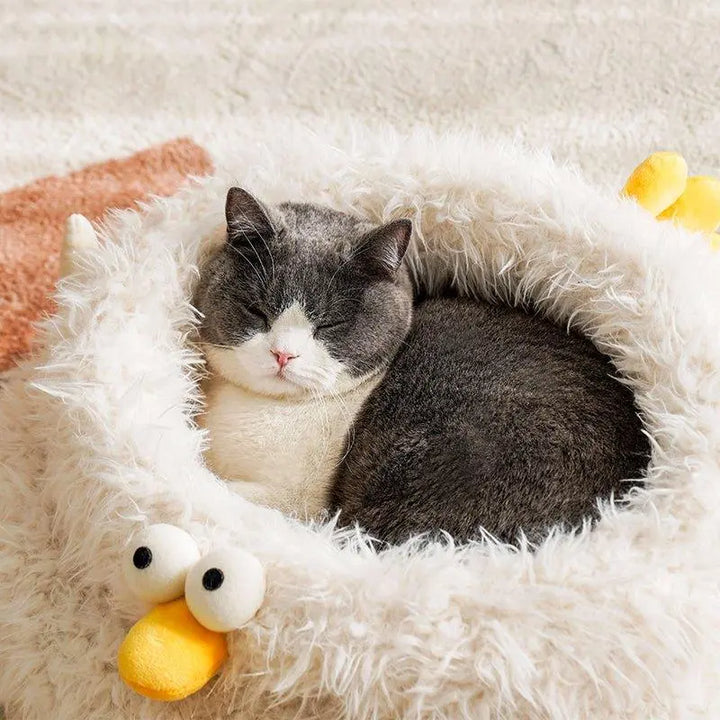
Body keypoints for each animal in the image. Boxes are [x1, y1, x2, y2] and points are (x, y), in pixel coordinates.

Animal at [194, 188, 648, 544]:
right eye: (256, 310)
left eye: (330, 323)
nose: (283, 354)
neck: (260, 408)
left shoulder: (298, 500)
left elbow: (225, 490)